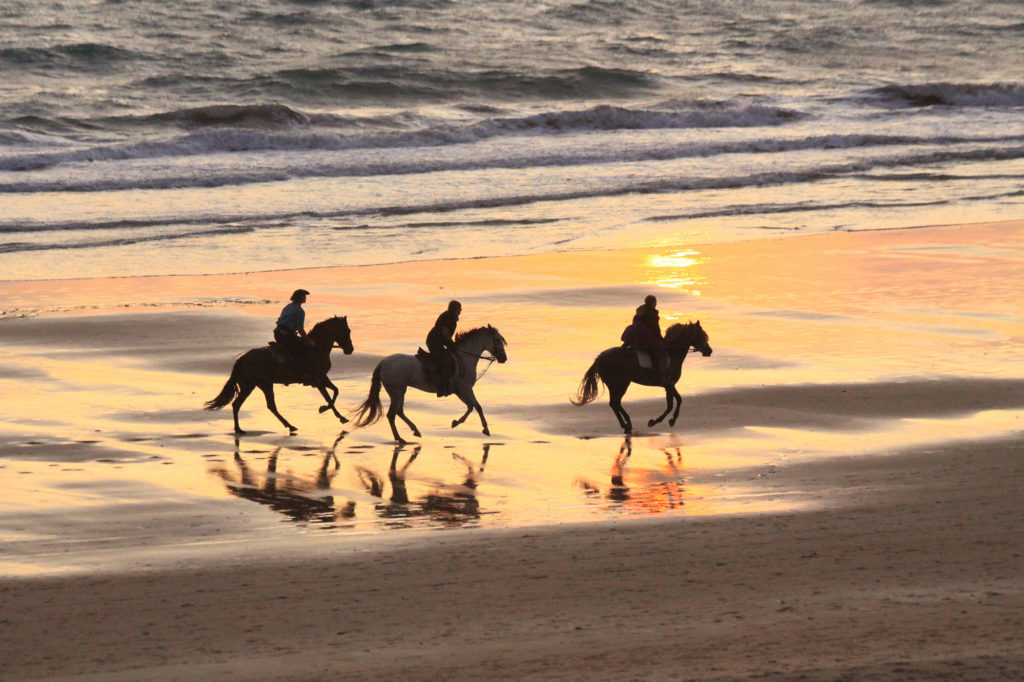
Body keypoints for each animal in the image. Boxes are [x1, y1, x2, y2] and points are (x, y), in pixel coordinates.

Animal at [203, 315, 356, 432]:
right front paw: (332, 412)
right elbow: (329, 397)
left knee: (258, 405)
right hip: (255, 385)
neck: (316, 348)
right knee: (247, 405)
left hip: (258, 385)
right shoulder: (318, 379)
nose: (350, 349)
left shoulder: (323, 377)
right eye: (347, 330)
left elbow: (335, 391)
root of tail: (241, 360)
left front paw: (331, 411)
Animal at [354, 325, 509, 444]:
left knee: (397, 412)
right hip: (398, 391)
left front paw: (456, 422)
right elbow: (477, 407)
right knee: (393, 414)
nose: (504, 358)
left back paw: (412, 432)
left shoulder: (460, 391)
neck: (465, 357)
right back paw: (402, 437)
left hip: (398, 391)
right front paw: (485, 429)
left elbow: (471, 407)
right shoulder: (465, 389)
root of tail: (382, 363)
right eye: (497, 340)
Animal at [569, 319, 712, 436]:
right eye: (701, 335)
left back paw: (627, 425)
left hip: (618, 384)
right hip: (620, 384)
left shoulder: (668, 386)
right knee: (615, 403)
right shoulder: (668, 384)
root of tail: (600, 358)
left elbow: (671, 404)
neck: (671, 354)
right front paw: (662, 420)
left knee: (615, 403)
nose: (709, 351)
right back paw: (627, 424)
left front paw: (662, 420)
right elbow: (678, 400)